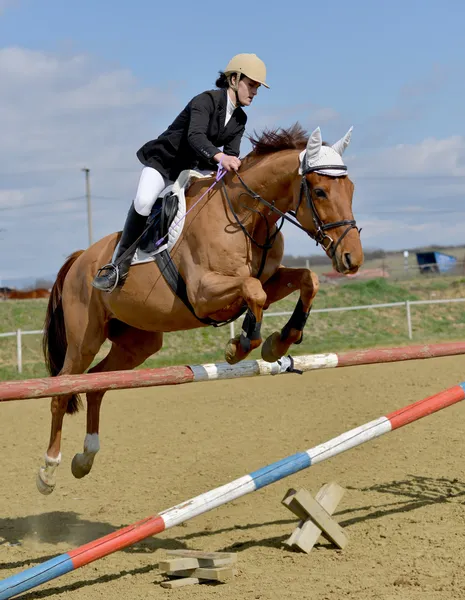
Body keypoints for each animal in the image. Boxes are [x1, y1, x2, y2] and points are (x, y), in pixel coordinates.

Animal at [37, 124, 362, 494]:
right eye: (320, 191)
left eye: (351, 189)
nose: (352, 259)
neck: (247, 214)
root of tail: (80, 259)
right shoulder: (203, 292)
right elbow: (253, 291)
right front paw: (240, 346)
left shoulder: (270, 280)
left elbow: (307, 280)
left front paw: (278, 342)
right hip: (84, 340)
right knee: (62, 390)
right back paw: (48, 470)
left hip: (139, 343)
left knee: (98, 382)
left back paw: (86, 457)